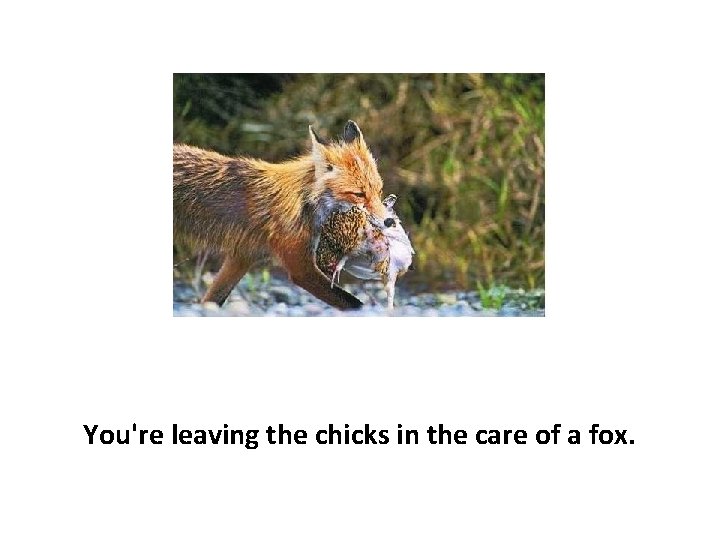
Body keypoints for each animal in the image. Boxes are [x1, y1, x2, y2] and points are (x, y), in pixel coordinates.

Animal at [173, 120, 386, 310]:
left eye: (379, 191)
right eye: (359, 194)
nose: (389, 221)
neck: (302, 203)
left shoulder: (242, 258)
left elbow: (212, 299)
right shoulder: (300, 268)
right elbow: (353, 303)